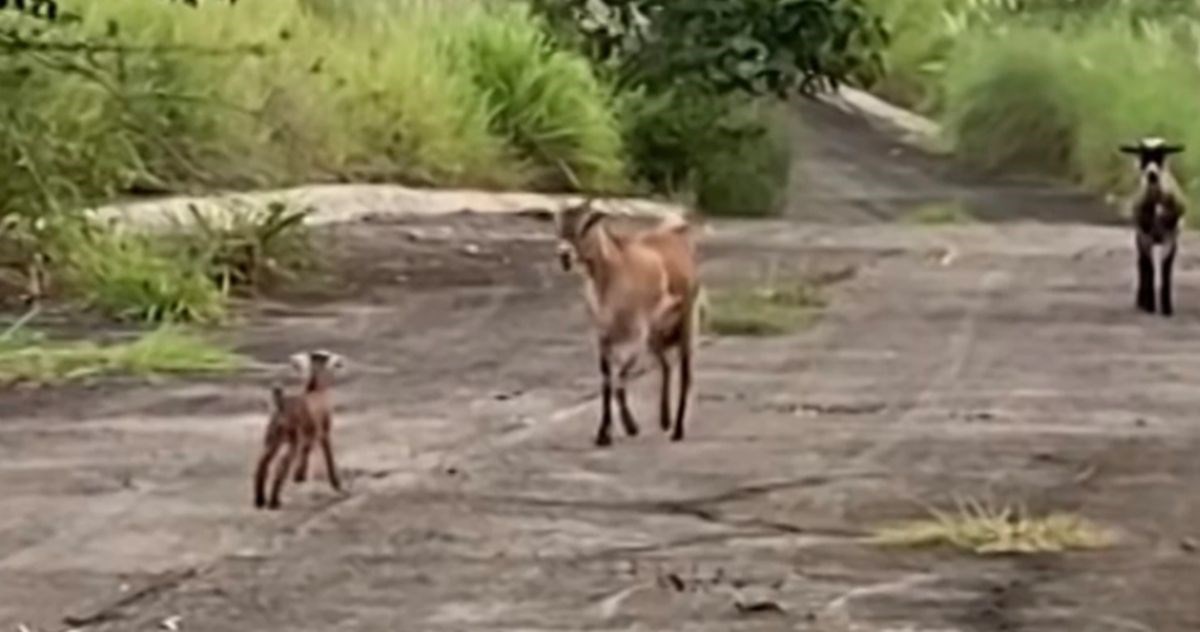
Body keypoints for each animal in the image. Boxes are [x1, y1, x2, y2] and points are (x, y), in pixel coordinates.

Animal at [253, 350, 345, 508]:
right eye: (327, 356)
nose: (340, 360)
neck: (315, 390)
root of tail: (280, 404)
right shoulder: (320, 431)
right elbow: (325, 456)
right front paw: (335, 484)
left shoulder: (313, 434)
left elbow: (310, 454)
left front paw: (300, 476)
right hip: (292, 439)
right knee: (281, 465)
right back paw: (274, 501)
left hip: (273, 439)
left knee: (262, 464)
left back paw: (260, 500)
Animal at [552, 200, 700, 448]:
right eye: (559, 226)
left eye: (586, 225)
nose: (564, 255)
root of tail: (677, 235)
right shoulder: (603, 337)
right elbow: (607, 381)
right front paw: (604, 433)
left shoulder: (638, 335)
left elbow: (621, 377)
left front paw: (630, 426)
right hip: (656, 335)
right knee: (666, 367)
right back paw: (665, 420)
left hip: (684, 320)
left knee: (685, 374)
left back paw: (677, 430)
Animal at [1118, 137, 1185, 316]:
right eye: (1143, 156)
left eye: (1161, 155)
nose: (1152, 175)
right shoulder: (1145, 238)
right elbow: (1149, 269)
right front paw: (1150, 306)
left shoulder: (1170, 239)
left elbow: (1166, 271)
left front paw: (1167, 309)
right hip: (1140, 237)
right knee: (1141, 265)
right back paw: (1141, 301)